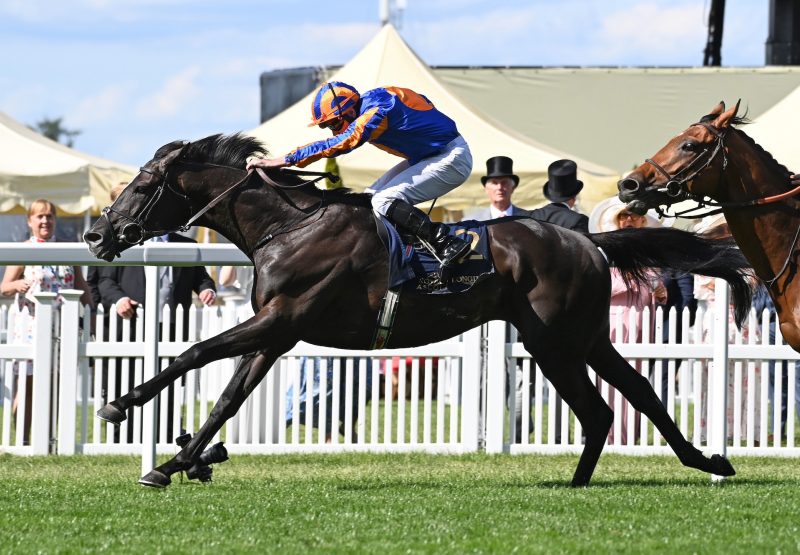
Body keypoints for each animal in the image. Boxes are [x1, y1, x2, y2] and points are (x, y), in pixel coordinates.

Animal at [83, 132, 752, 488]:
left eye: (141, 186)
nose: (95, 235)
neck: (288, 226)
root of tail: (589, 241)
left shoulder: (282, 320)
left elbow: (194, 353)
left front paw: (124, 408)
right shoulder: (277, 334)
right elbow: (226, 398)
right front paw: (180, 459)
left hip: (554, 343)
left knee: (599, 408)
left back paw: (578, 482)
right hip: (586, 338)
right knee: (639, 394)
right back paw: (702, 459)